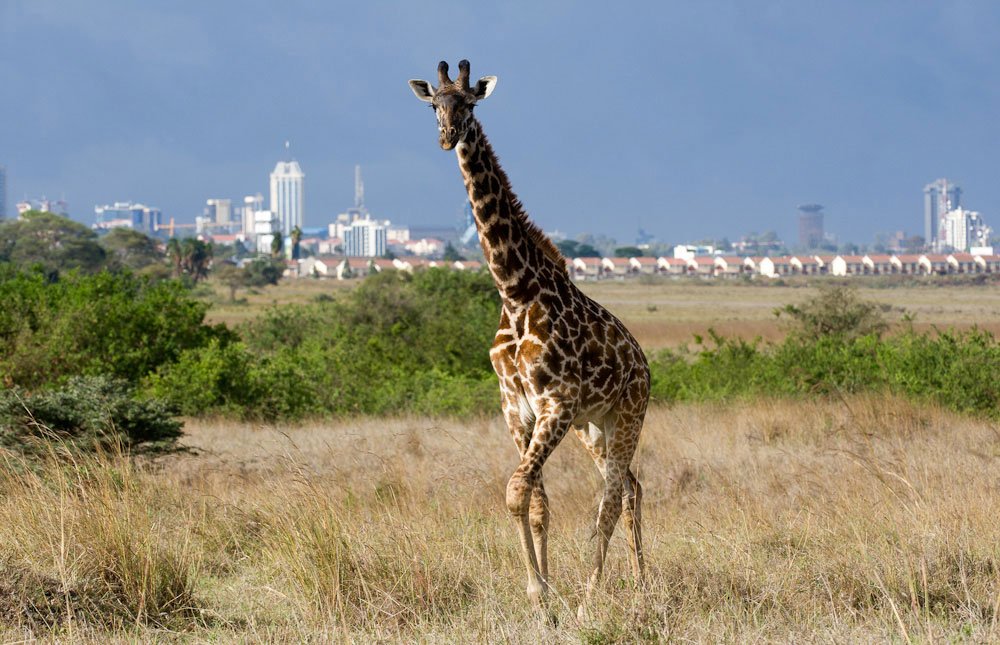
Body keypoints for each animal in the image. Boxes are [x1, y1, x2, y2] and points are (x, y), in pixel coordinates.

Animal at [406, 61, 648, 612]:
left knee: (612, 494)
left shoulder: (556, 401)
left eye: (469, 103)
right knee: (631, 486)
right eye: (434, 106)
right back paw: (643, 585)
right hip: (593, 426)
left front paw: (545, 593)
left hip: (627, 414)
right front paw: (544, 595)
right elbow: (535, 499)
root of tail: (644, 363)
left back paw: (592, 597)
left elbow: (517, 491)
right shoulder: (516, 406)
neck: (515, 290)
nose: (447, 136)